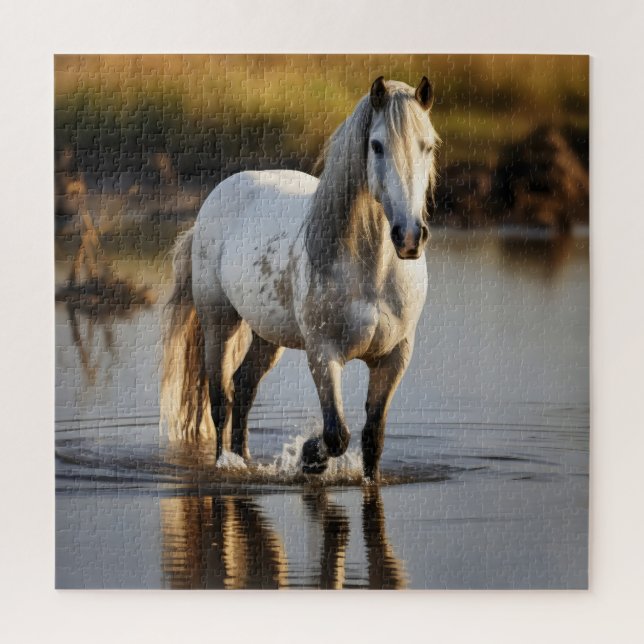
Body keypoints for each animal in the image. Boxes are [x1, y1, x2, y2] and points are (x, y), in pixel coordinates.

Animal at [161, 76, 439, 482]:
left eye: (427, 145)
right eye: (377, 145)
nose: (409, 237)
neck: (371, 275)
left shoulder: (394, 357)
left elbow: (373, 439)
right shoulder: (324, 354)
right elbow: (337, 434)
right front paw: (310, 456)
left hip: (266, 335)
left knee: (244, 388)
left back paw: (245, 457)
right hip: (219, 324)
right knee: (220, 399)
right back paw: (227, 463)